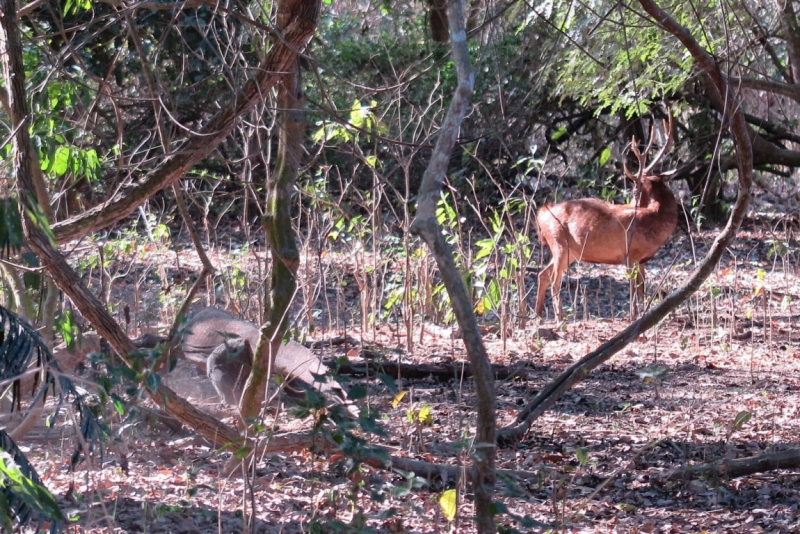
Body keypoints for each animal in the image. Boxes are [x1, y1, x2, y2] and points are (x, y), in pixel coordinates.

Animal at [536, 119, 680, 320]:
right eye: (635, 190)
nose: (632, 203)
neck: (654, 221)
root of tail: (542, 214)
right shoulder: (630, 254)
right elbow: (633, 288)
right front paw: (633, 316)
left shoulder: (642, 259)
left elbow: (642, 287)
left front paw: (643, 313)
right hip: (559, 243)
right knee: (555, 281)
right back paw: (559, 318)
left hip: (569, 251)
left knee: (543, 274)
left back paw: (537, 315)